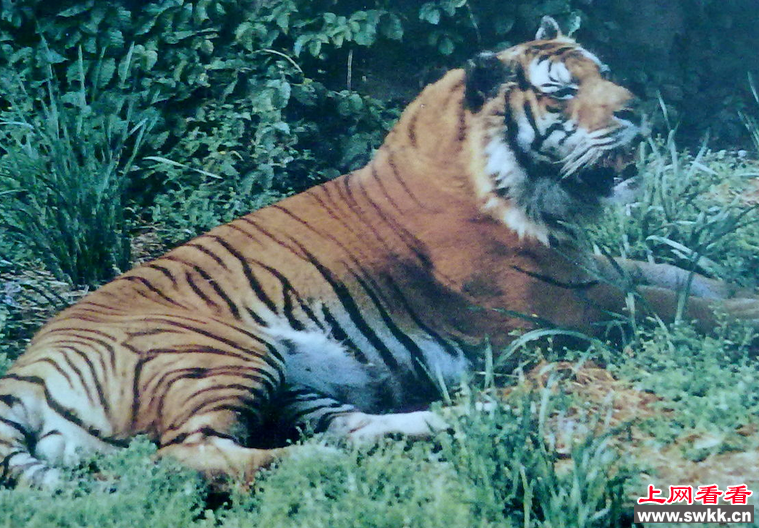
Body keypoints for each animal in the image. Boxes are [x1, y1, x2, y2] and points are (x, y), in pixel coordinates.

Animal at [2, 16, 759, 489]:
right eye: (561, 91)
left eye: (604, 73)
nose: (638, 110)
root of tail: (25, 368)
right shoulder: (567, 300)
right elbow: (676, 304)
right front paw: (745, 313)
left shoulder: (586, 267)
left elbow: (682, 277)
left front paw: (733, 283)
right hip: (218, 351)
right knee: (189, 458)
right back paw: (322, 469)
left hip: (294, 381)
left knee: (347, 427)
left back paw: (475, 419)